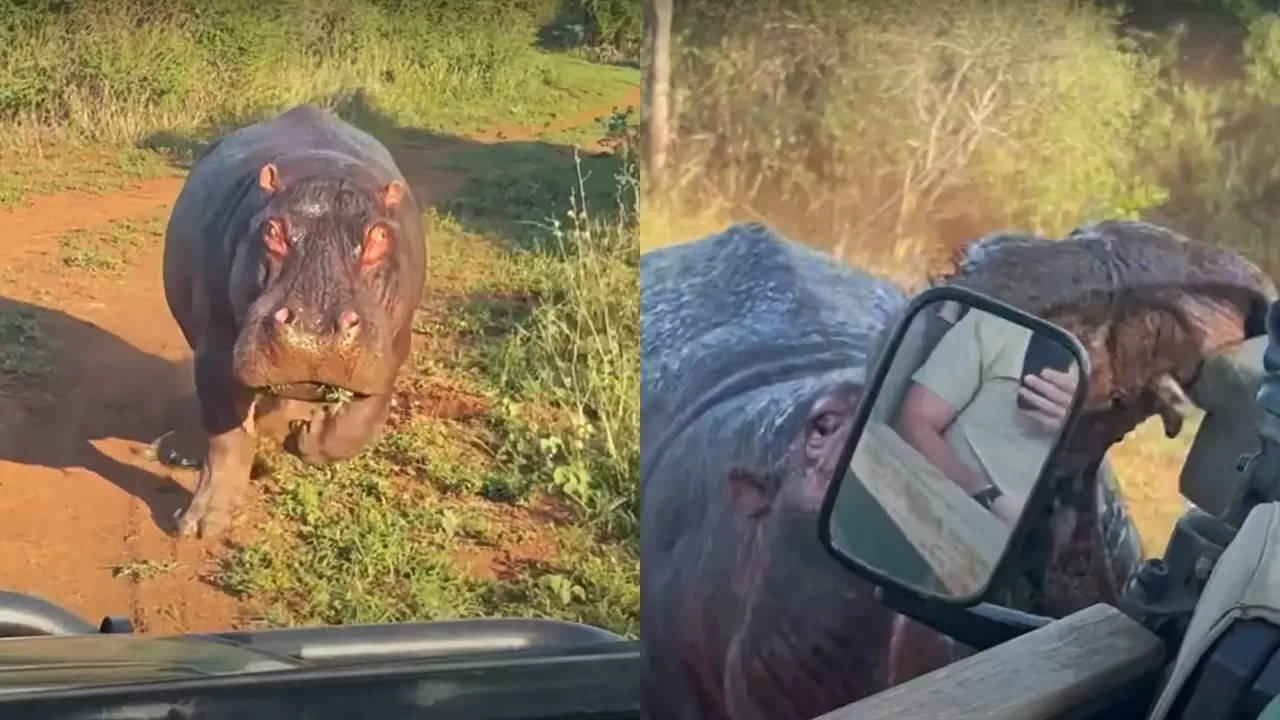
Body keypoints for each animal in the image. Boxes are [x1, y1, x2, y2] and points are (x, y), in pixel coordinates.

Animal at [162, 103, 424, 535]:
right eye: (272, 230)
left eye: (379, 237)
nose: (314, 330)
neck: (324, 174)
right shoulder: (215, 351)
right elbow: (226, 439)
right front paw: (200, 526)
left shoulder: (392, 354)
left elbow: (357, 425)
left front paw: (303, 436)